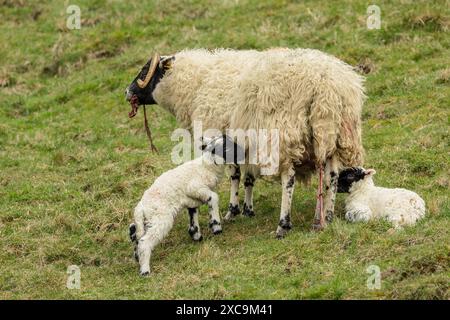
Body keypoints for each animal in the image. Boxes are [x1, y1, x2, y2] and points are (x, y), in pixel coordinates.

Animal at [125, 48, 366, 236]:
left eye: (145, 71)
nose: (127, 92)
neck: (196, 83)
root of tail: (327, 86)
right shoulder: (245, 142)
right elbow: (249, 176)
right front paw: (248, 209)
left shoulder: (220, 135)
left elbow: (234, 174)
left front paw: (232, 210)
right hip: (334, 134)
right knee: (331, 176)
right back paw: (327, 215)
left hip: (283, 134)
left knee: (289, 179)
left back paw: (283, 224)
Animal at [128, 135, 244, 276]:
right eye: (231, 147)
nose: (245, 154)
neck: (207, 167)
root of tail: (141, 206)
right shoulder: (195, 188)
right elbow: (214, 197)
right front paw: (216, 226)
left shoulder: (192, 199)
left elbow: (193, 215)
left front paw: (196, 234)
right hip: (161, 218)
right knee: (145, 242)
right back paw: (145, 270)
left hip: (148, 219)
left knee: (134, 232)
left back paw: (137, 257)